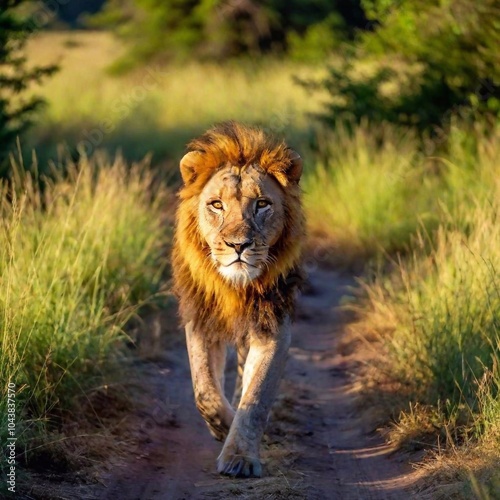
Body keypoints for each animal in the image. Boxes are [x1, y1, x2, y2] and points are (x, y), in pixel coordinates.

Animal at [172, 120, 304, 476]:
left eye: (262, 204)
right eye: (217, 205)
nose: (238, 245)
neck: (237, 287)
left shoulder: (274, 329)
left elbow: (255, 398)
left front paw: (240, 457)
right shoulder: (201, 321)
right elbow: (205, 391)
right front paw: (223, 427)